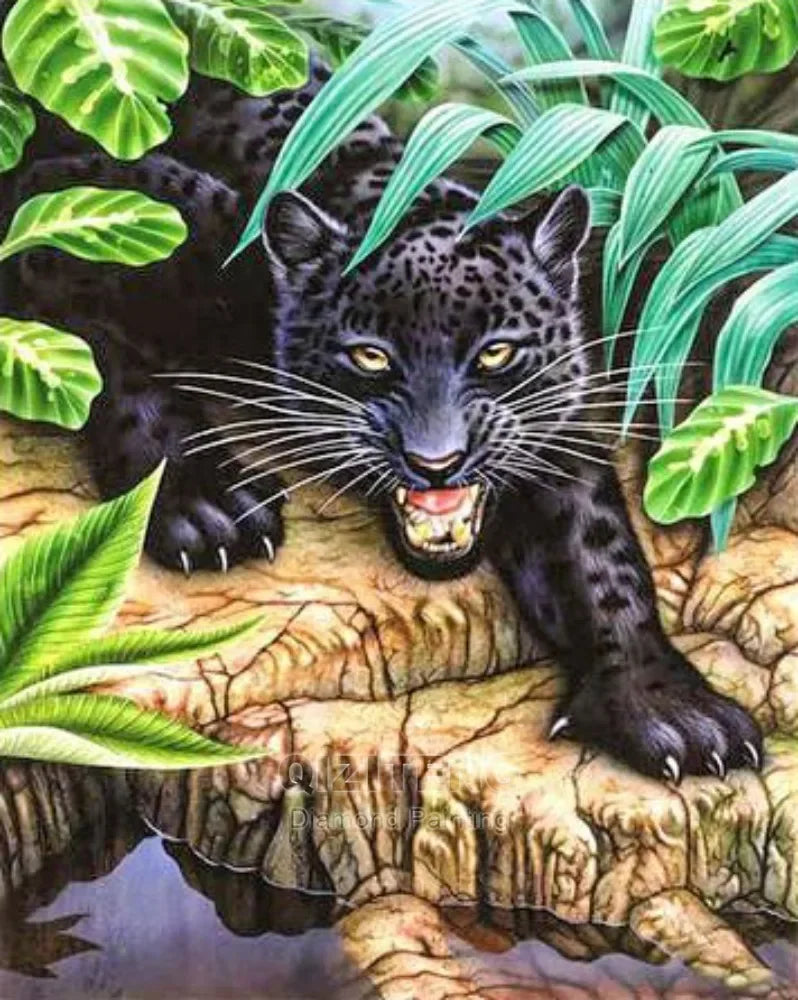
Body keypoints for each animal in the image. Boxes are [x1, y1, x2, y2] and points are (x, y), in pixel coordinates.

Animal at [8, 60, 762, 783]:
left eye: (496, 351)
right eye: (370, 355)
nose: (437, 461)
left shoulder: (553, 424)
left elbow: (598, 551)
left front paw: (667, 707)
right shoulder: (72, 218)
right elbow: (105, 361)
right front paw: (206, 504)